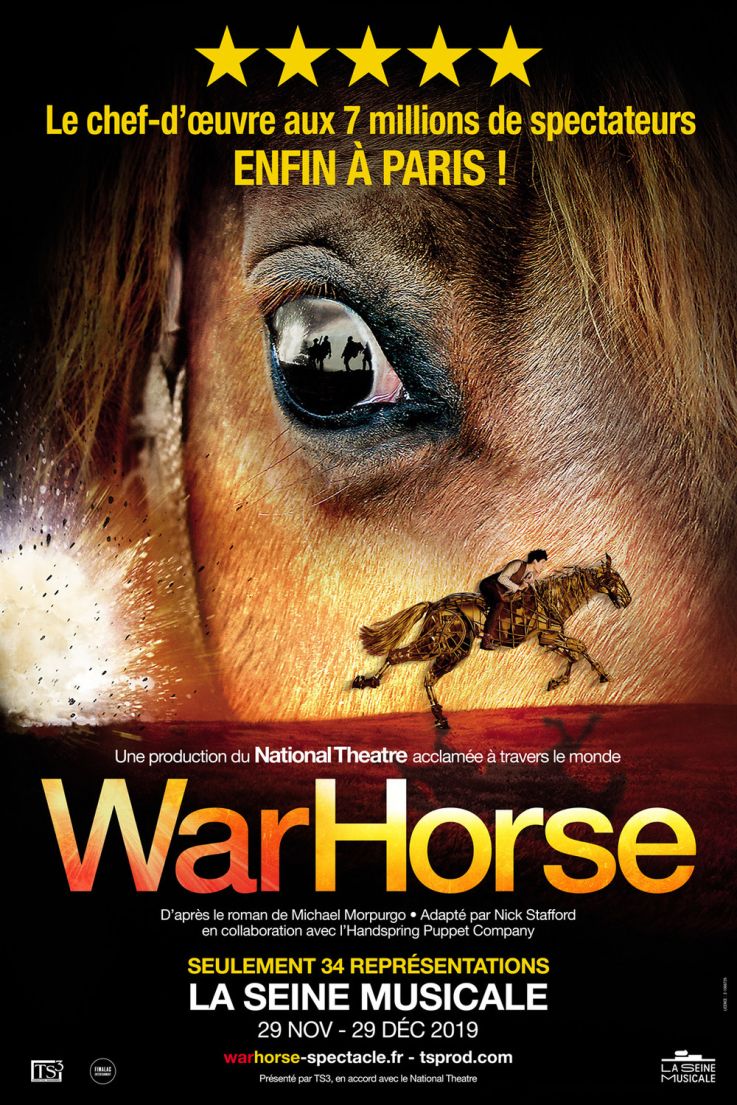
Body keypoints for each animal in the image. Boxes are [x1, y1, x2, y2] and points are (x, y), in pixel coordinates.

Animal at [352, 555, 631, 729]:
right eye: (614, 578)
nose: (627, 600)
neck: (554, 598)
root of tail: (434, 605)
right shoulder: (547, 637)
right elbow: (580, 647)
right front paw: (601, 676)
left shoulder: (548, 638)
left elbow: (574, 652)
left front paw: (556, 682)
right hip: (445, 644)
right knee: (400, 656)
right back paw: (368, 682)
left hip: (452, 647)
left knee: (422, 673)